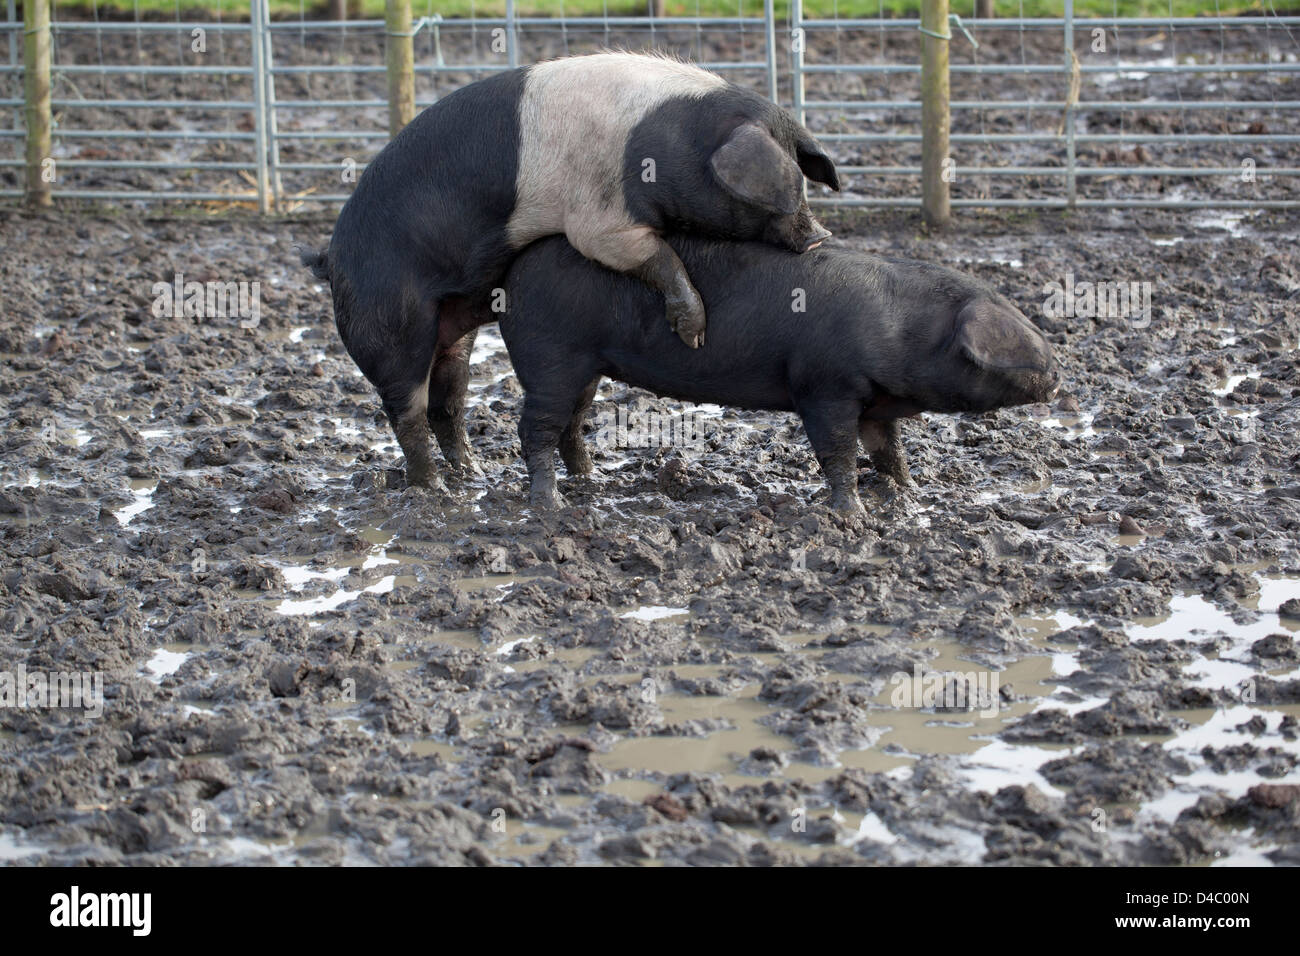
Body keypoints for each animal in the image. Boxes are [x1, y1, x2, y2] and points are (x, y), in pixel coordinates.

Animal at [299, 49, 837, 489]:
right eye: (780, 193)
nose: (819, 236)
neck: (669, 144)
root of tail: (329, 259)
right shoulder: (601, 218)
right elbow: (653, 254)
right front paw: (694, 333)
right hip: (390, 323)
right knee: (404, 409)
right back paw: (434, 489)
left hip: (453, 334)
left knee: (446, 403)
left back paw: (474, 475)